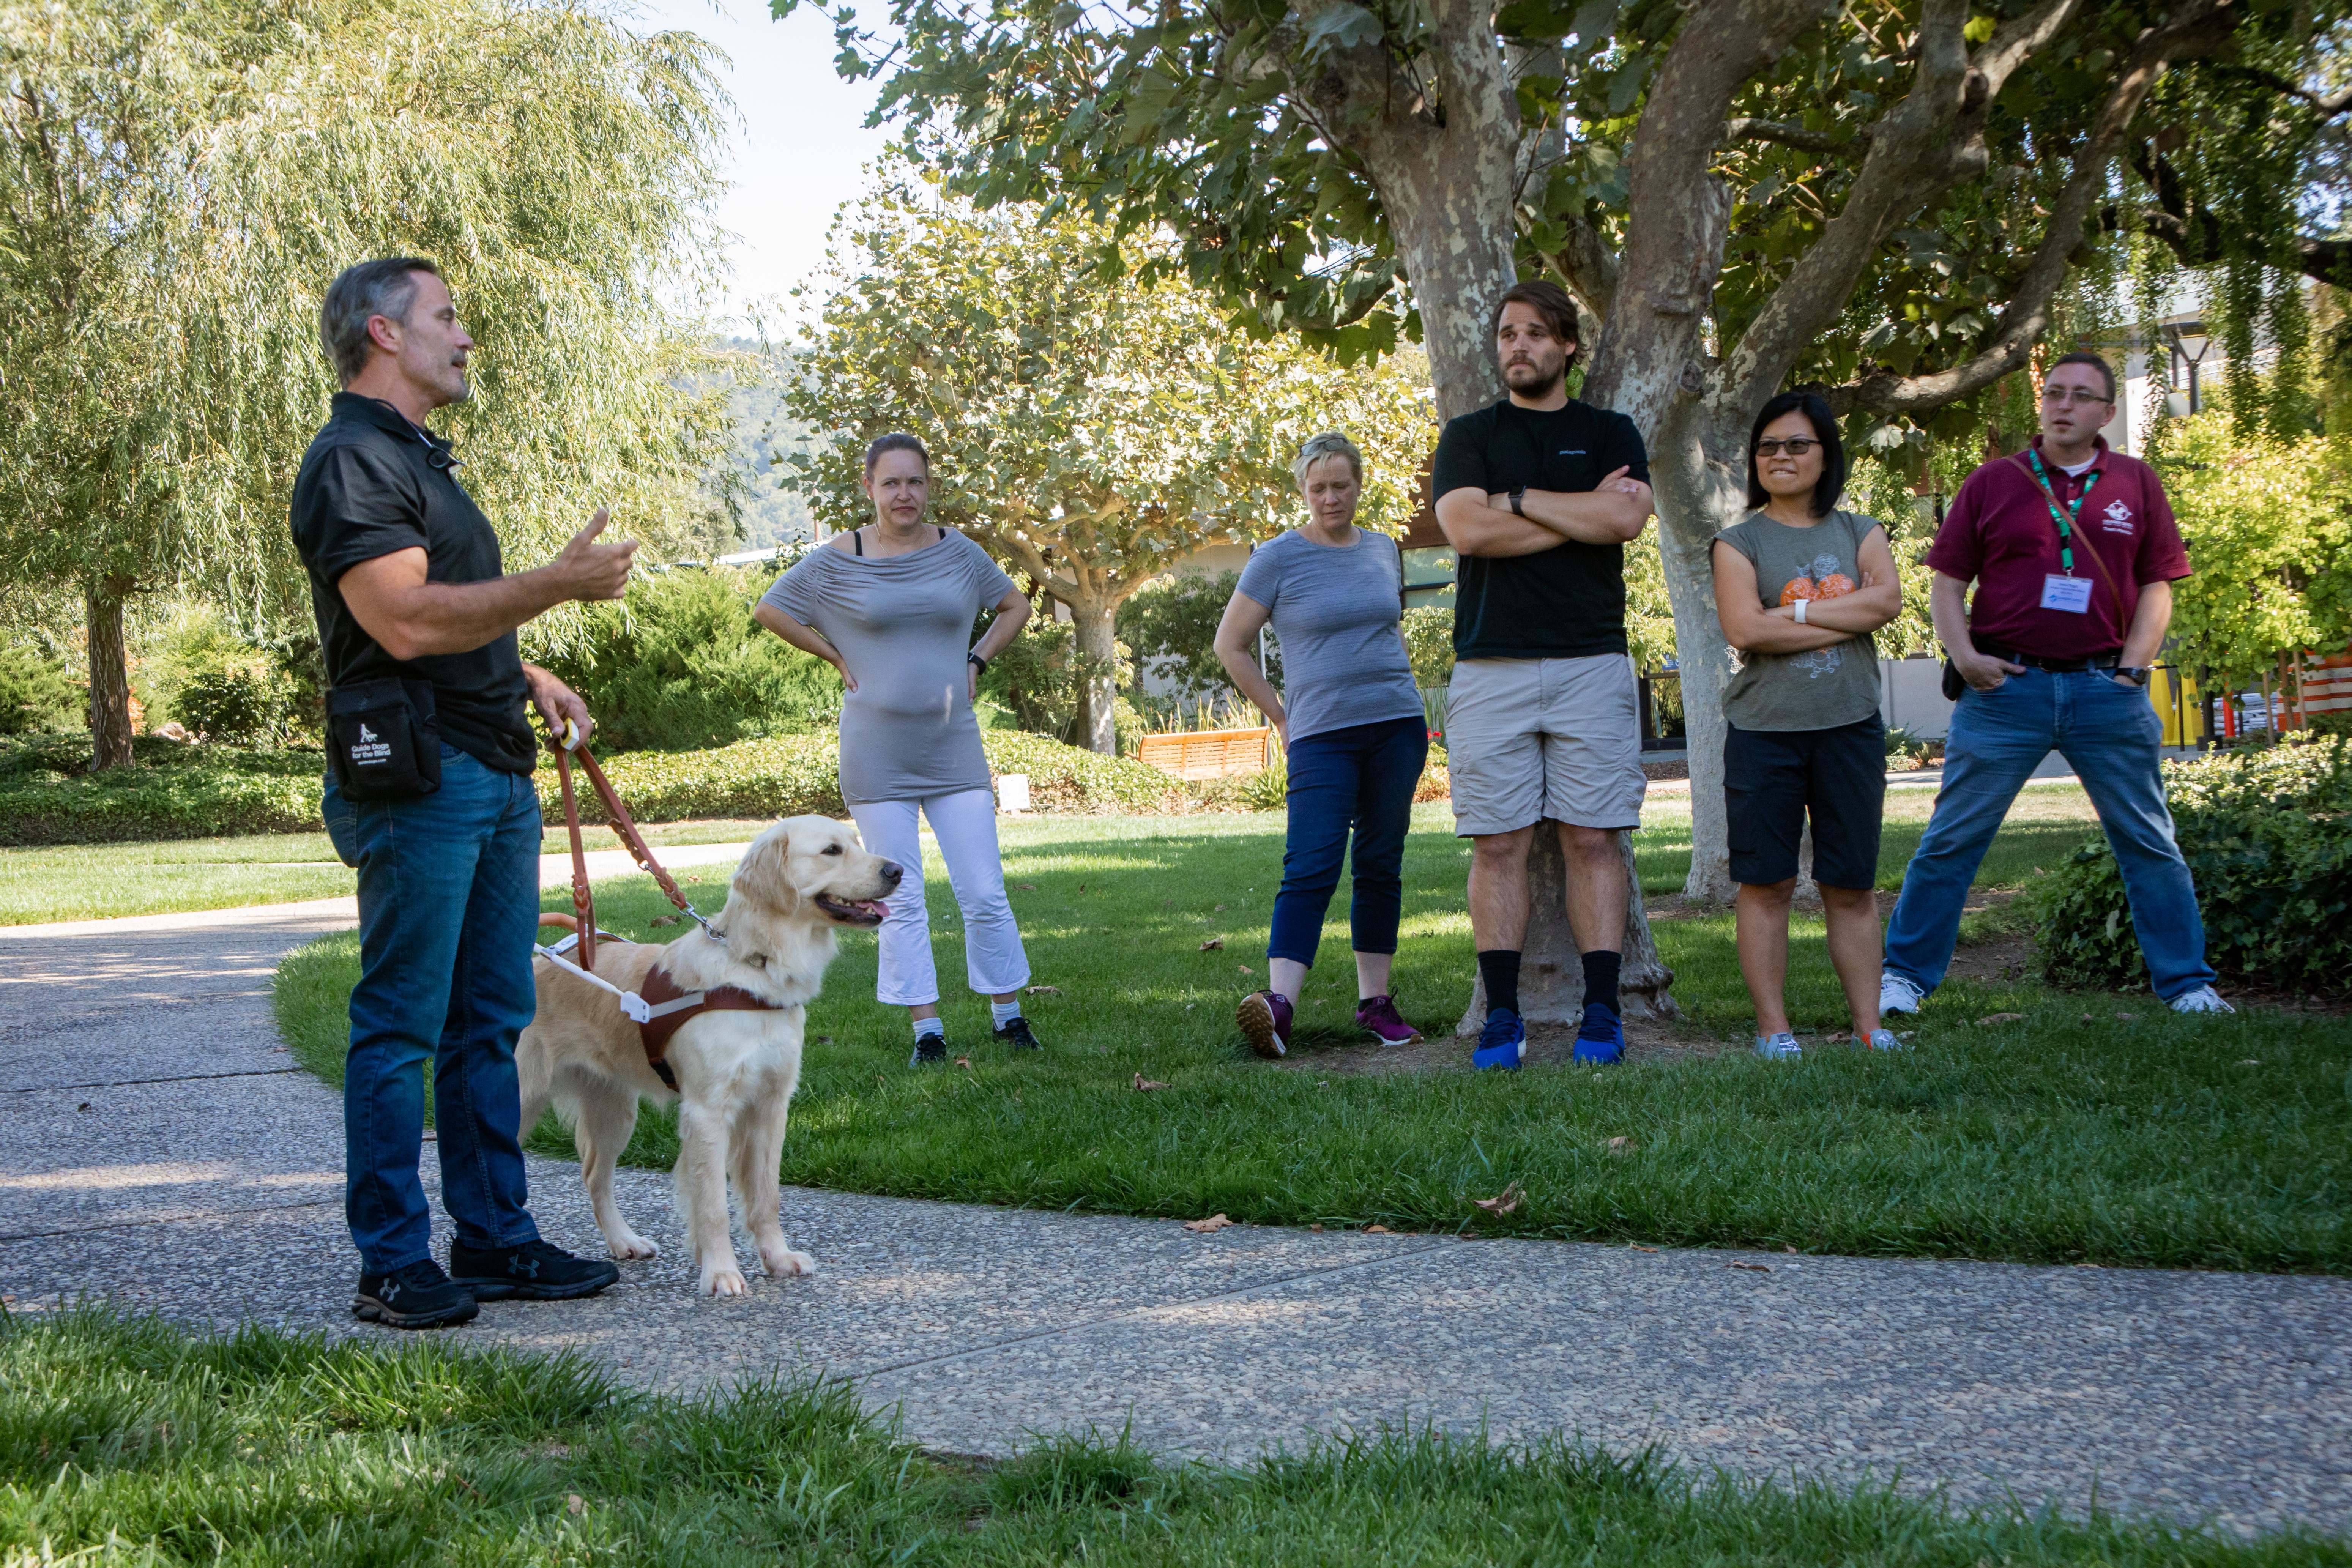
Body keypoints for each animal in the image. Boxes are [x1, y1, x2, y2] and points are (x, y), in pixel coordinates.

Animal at [520, 818, 894, 1297]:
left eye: (857, 843)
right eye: (832, 851)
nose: (898, 871)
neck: (756, 966)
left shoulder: (771, 1105)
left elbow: (767, 1197)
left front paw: (778, 1258)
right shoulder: (708, 1111)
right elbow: (713, 1204)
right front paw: (720, 1273)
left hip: (614, 1111)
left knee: (595, 1176)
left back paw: (624, 1242)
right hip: (520, 1098)